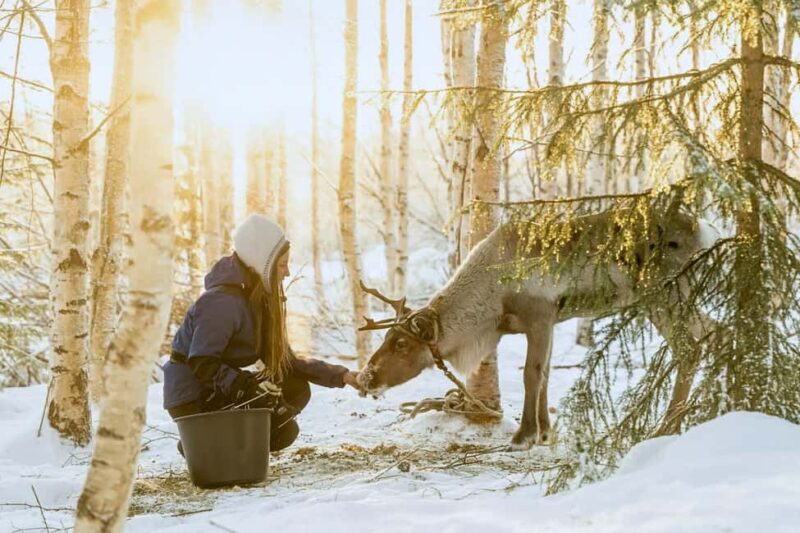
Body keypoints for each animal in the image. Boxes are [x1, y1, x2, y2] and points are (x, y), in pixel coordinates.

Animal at [356, 209, 719, 450]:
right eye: (387, 337)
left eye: (401, 343)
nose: (366, 377)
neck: (491, 303)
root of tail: (706, 231)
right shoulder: (552, 322)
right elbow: (545, 374)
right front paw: (545, 432)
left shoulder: (540, 316)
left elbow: (532, 374)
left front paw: (524, 436)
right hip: (678, 297)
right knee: (716, 329)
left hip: (664, 294)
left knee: (689, 347)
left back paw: (665, 427)